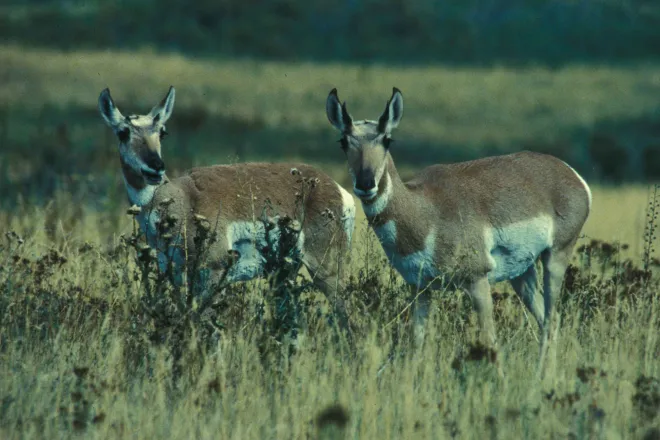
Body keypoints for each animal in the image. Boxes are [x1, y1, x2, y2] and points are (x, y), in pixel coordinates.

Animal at [98, 86, 356, 336]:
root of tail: (333, 186)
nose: (156, 168)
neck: (183, 197)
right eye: (123, 132)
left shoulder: (213, 273)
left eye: (162, 132)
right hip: (284, 274)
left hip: (325, 270)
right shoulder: (176, 276)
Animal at [325, 87, 591, 365]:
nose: (366, 184)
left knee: (551, 319)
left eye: (387, 140)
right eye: (343, 142)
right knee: (547, 320)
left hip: (555, 257)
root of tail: (569, 172)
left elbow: (490, 342)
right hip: (522, 273)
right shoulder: (420, 290)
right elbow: (416, 344)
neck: (426, 209)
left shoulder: (477, 282)